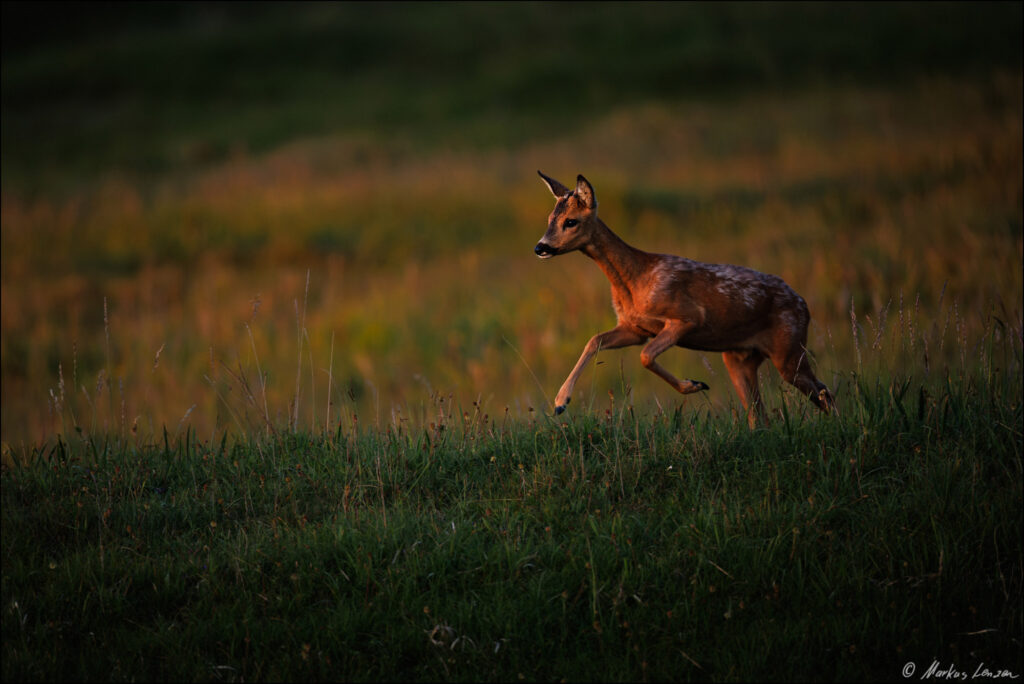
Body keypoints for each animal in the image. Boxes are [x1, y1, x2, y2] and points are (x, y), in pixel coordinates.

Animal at [534, 171, 834, 427]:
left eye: (571, 221)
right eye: (549, 218)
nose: (540, 247)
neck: (635, 281)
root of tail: (803, 304)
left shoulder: (688, 318)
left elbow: (645, 356)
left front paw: (695, 384)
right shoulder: (634, 328)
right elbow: (594, 340)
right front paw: (560, 402)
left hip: (789, 349)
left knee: (824, 393)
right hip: (740, 357)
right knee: (759, 413)